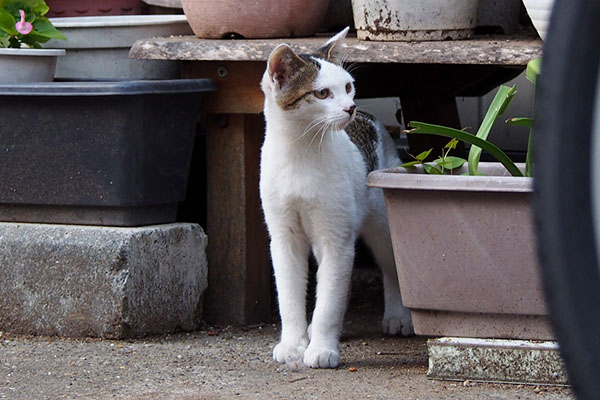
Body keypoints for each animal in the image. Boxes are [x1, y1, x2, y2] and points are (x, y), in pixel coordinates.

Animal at [258, 28, 412, 370]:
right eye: (321, 94)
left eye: (347, 86)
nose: (349, 107)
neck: (301, 153)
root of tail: (371, 118)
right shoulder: (284, 237)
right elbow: (290, 295)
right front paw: (293, 343)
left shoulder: (336, 238)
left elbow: (329, 301)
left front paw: (322, 348)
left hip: (381, 225)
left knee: (391, 267)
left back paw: (398, 316)